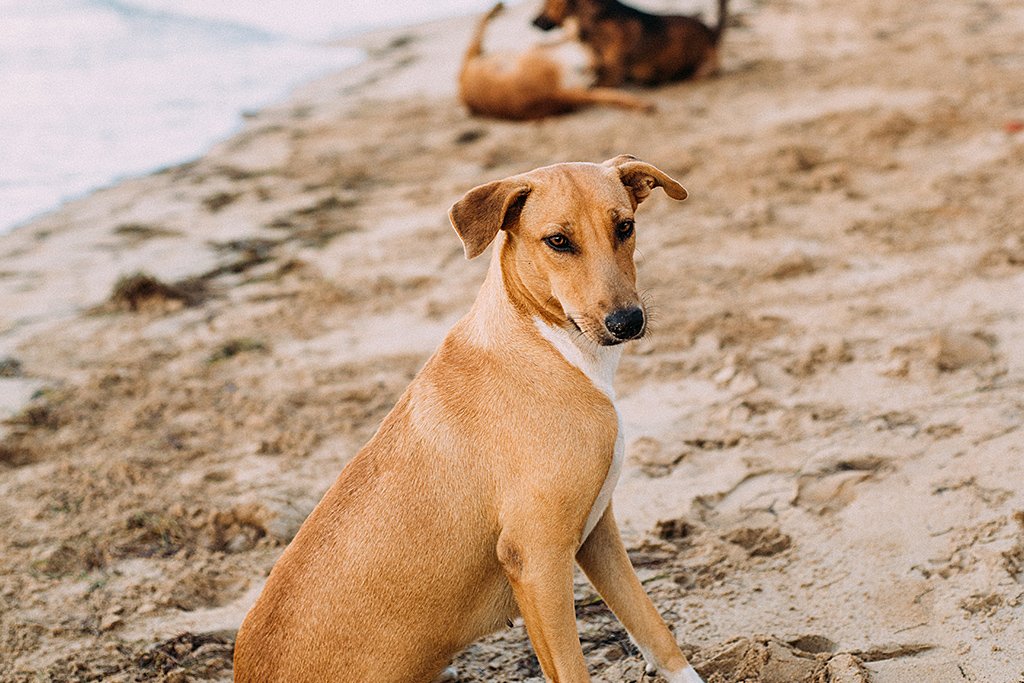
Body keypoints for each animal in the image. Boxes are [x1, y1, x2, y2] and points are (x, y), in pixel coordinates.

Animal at [232, 156, 704, 683]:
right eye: (558, 241)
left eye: (625, 227)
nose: (628, 322)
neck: (547, 344)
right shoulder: (536, 559)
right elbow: (572, 669)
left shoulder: (596, 534)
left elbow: (656, 632)